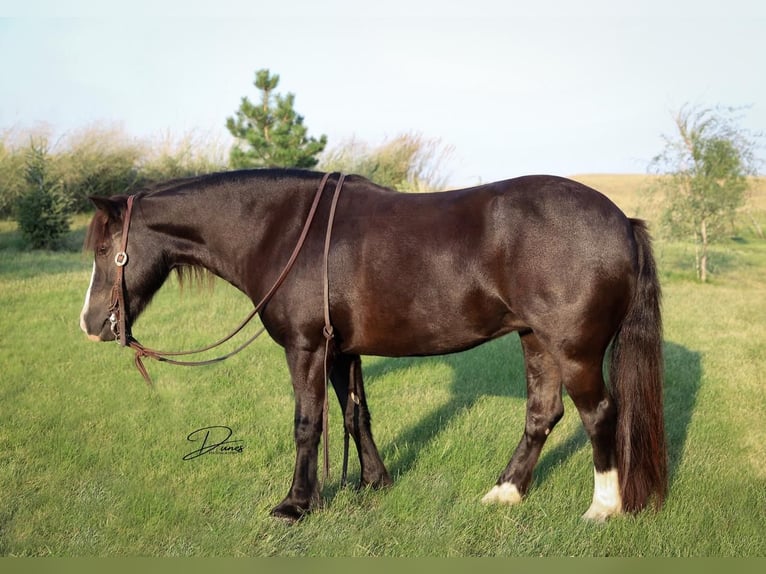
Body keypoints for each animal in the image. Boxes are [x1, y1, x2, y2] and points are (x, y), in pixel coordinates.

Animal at [79, 169, 664, 524]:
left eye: (107, 250)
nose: (91, 324)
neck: (284, 229)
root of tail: (622, 222)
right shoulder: (341, 351)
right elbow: (355, 413)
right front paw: (373, 482)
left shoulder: (307, 349)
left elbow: (308, 424)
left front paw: (296, 504)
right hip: (535, 340)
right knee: (543, 413)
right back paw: (505, 492)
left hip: (575, 350)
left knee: (599, 413)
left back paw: (603, 508)